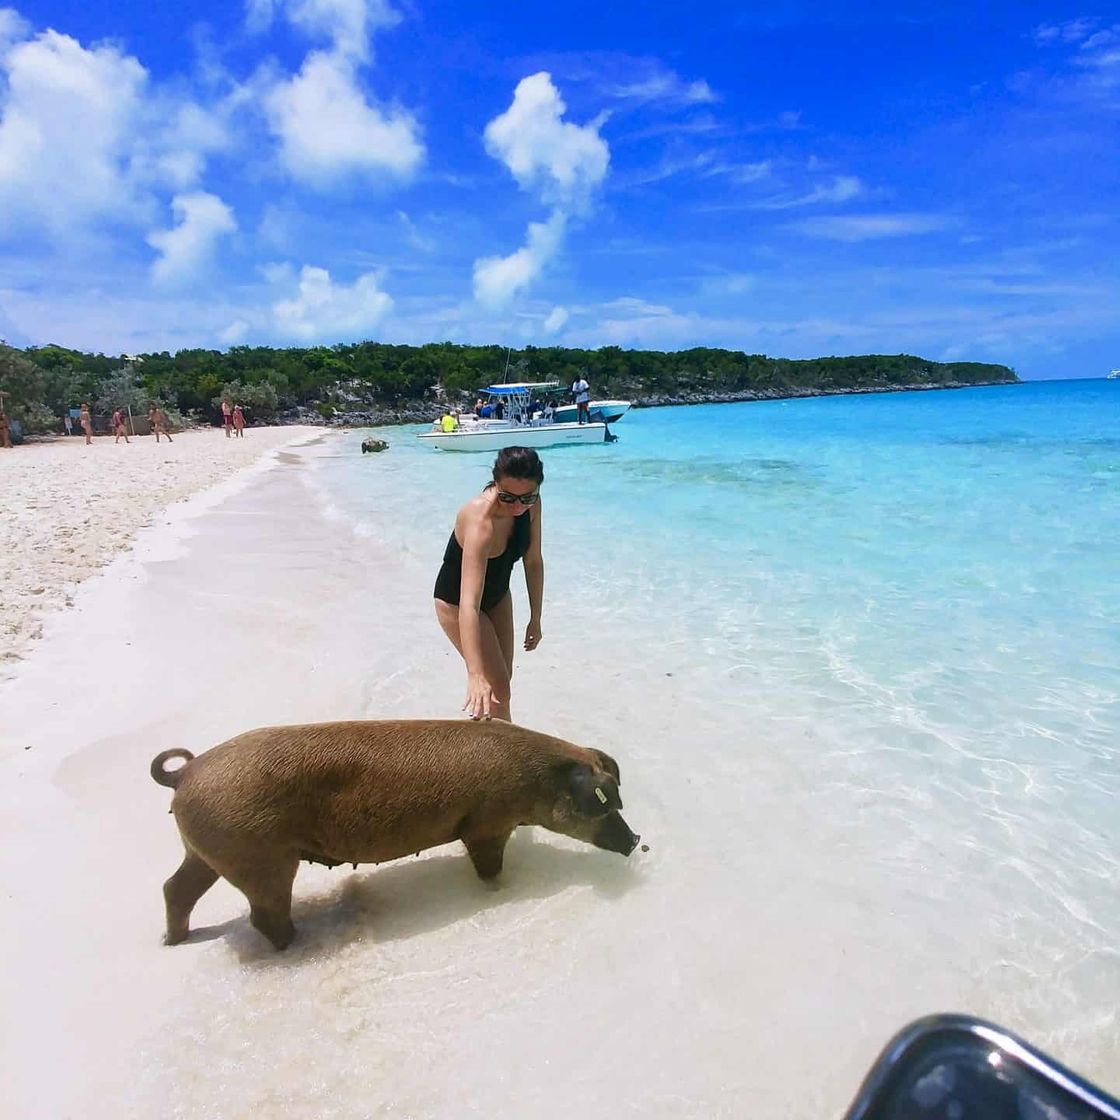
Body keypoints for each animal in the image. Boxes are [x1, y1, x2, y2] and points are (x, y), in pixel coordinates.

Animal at [148, 721, 640, 949]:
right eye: (603, 804)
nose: (635, 841)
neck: (531, 782)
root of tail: (185, 774)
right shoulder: (486, 823)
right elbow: (488, 864)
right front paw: (501, 889)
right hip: (257, 854)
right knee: (262, 914)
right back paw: (298, 944)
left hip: (205, 850)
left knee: (175, 888)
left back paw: (173, 941)